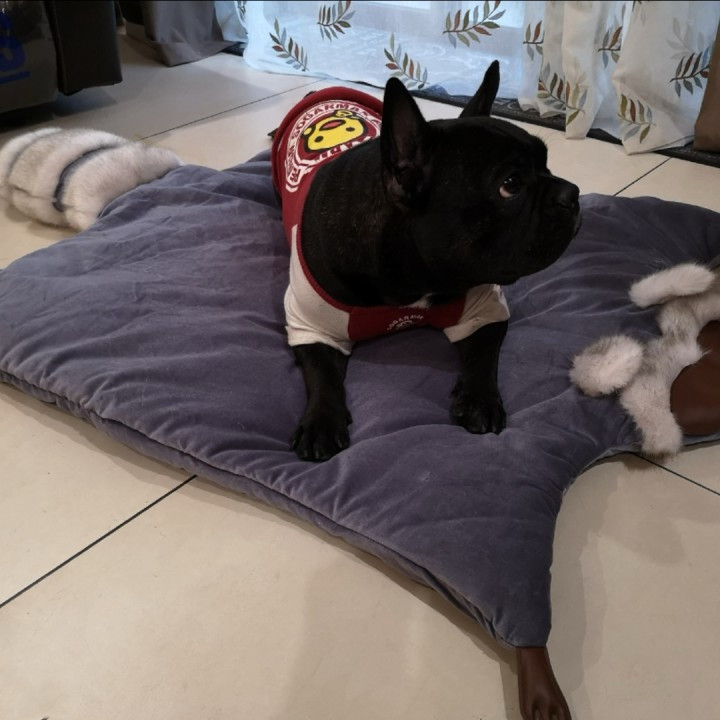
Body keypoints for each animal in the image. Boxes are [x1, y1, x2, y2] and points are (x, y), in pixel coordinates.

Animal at [271, 61, 581, 461]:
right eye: (510, 184)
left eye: (547, 163)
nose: (571, 193)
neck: (413, 277)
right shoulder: (310, 324)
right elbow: (321, 374)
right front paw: (321, 423)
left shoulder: (484, 310)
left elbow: (484, 357)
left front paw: (480, 400)